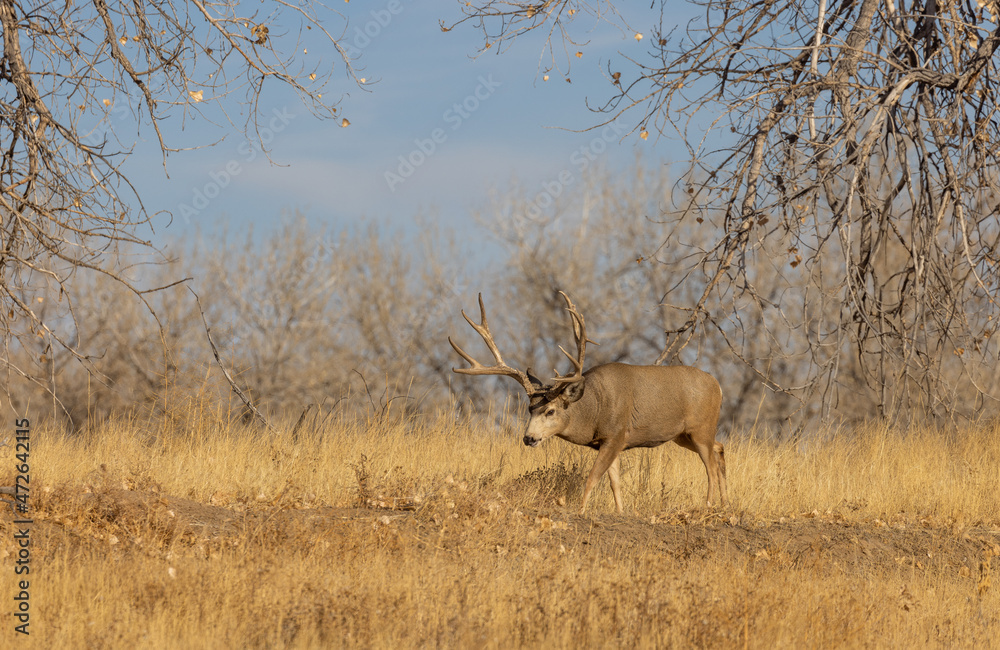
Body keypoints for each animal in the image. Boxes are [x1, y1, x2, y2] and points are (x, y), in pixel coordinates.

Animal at [449, 292, 727, 514]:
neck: (595, 407)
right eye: (529, 409)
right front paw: (620, 512)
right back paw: (723, 500)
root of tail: (718, 385)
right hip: (683, 435)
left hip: (701, 428)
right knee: (720, 449)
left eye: (550, 411)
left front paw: (581, 511)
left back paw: (708, 506)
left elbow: (592, 477)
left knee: (711, 467)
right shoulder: (608, 442)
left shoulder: (616, 435)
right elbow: (614, 482)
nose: (529, 438)